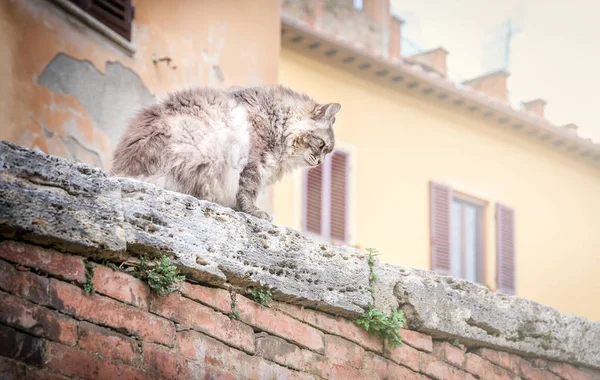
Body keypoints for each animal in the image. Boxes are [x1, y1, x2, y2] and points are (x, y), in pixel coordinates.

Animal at [110, 84, 340, 221]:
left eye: (328, 152)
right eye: (321, 145)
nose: (320, 162)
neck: (277, 120)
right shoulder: (253, 162)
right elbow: (247, 192)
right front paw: (255, 212)